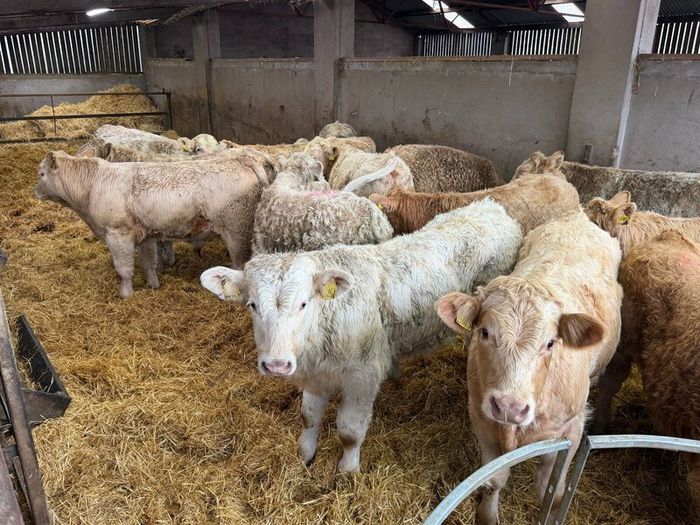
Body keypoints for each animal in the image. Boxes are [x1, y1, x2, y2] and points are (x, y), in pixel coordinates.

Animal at [200, 199, 523, 473]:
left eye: (304, 303)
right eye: (252, 305)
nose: (277, 365)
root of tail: (492, 207)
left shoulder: (361, 377)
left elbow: (349, 431)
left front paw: (348, 470)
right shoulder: (316, 376)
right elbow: (308, 416)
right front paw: (305, 454)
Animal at [435, 211, 622, 525]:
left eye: (550, 343)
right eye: (484, 332)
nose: (509, 407)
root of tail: (578, 217)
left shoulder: (572, 431)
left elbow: (551, 490)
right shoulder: (482, 422)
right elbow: (494, 479)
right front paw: (487, 515)